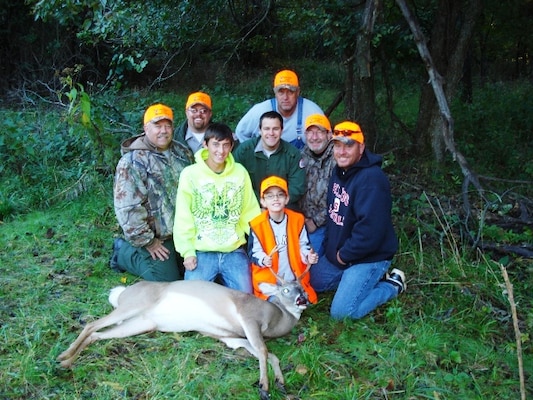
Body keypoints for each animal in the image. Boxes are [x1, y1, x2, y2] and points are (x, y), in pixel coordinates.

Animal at [56, 264, 310, 398]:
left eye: (301, 286)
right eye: (286, 289)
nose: (303, 298)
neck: (276, 317)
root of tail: (122, 292)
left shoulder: (231, 337)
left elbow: (269, 354)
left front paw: (280, 381)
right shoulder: (248, 318)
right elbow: (264, 350)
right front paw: (264, 386)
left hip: (140, 323)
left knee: (97, 334)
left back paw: (66, 363)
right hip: (135, 305)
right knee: (91, 324)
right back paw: (63, 356)